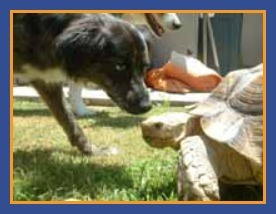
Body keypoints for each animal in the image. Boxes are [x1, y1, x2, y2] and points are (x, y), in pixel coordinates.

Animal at [14, 13, 152, 155]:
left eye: (145, 67)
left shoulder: (45, 80)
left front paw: (91, 150)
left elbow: (69, 120)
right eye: (119, 65)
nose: (146, 106)